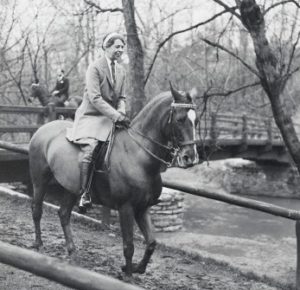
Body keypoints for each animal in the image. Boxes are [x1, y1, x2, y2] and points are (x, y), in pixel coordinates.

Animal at [28, 84, 199, 276]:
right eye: (180, 119)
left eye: (196, 121)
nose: (190, 158)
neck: (138, 155)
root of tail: (43, 129)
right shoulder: (126, 208)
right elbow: (129, 246)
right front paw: (129, 276)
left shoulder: (142, 208)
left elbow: (151, 243)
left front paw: (137, 268)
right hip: (40, 181)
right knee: (37, 210)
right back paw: (39, 244)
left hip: (71, 188)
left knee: (64, 214)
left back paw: (72, 251)